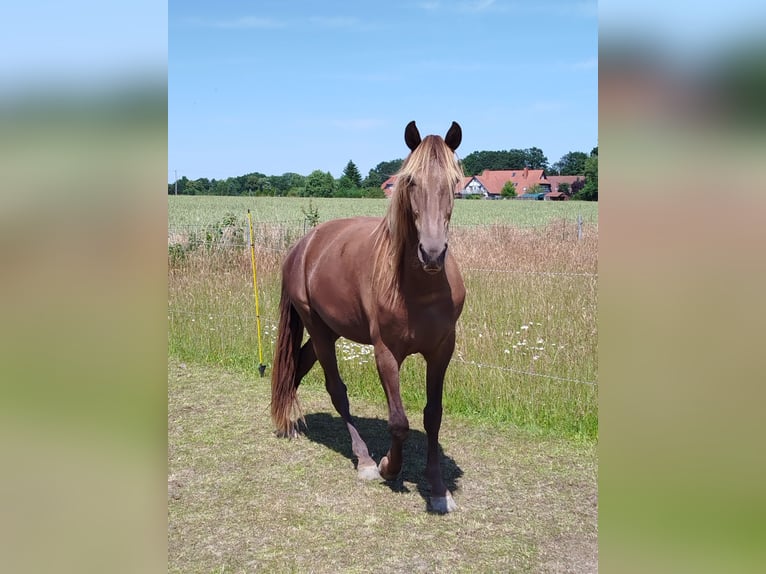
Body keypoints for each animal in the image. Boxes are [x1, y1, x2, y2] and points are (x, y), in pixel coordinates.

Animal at [270, 121, 465, 513]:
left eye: (454, 181)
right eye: (410, 181)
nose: (432, 252)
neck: (419, 289)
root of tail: (303, 246)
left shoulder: (441, 351)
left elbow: (433, 416)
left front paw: (439, 490)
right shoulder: (386, 353)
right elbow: (399, 421)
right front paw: (390, 467)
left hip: (326, 330)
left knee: (297, 365)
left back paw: (287, 422)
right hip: (319, 330)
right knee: (336, 390)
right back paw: (364, 460)